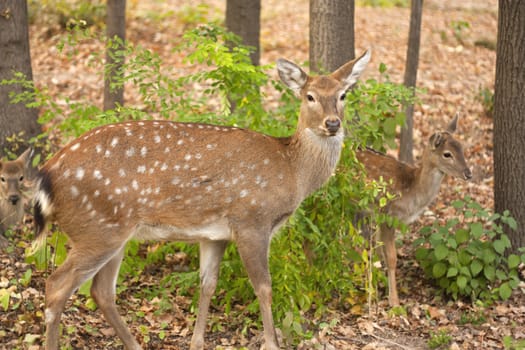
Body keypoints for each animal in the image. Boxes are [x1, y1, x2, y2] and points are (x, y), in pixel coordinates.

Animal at [32, 51, 370, 350]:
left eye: (343, 95)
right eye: (309, 96)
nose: (332, 123)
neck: (292, 171)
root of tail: (47, 174)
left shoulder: (214, 235)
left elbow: (207, 284)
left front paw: (197, 342)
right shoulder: (251, 220)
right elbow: (263, 287)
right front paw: (272, 344)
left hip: (112, 231)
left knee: (101, 292)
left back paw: (135, 345)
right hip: (97, 228)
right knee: (57, 286)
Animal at [356, 115, 470, 306]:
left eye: (462, 147)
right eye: (447, 154)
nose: (469, 173)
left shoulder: (379, 216)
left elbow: (379, 251)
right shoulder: (388, 214)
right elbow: (391, 257)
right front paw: (394, 301)